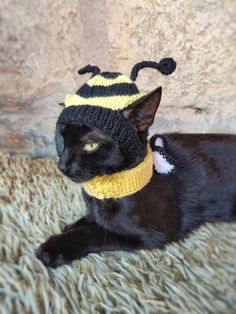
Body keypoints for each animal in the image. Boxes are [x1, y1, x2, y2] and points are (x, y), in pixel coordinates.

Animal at [35, 87, 236, 268]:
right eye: (61, 138)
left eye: (90, 145)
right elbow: (93, 219)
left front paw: (56, 247)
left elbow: (97, 232)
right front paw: (75, 224)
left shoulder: (153, 234)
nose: (62, 166)